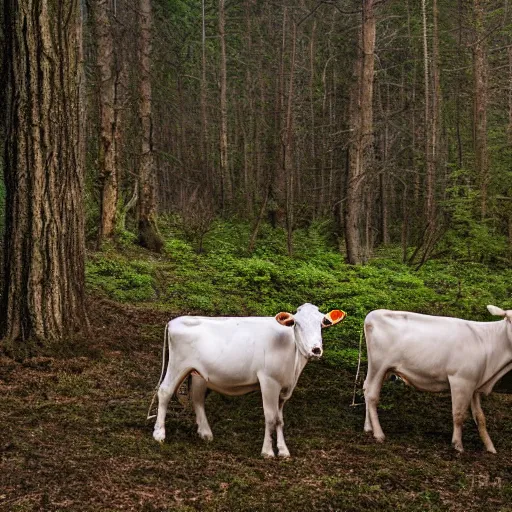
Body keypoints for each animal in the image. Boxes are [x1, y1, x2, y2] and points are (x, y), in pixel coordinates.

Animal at [150, 302, 346, 458]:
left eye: (322, 323)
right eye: (296, 324)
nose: (316, 350)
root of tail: (174, 321)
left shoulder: (284, 388)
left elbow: (280, 419)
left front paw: (283, 451)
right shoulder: (268, 381)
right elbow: (270, 417)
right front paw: (267, 452)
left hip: (198, 373)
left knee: (197, 398)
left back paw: (205, 433)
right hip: (177, 364)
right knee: (165, 391)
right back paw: (159, 434)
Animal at [364, 304, 512, 452]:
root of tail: (373, 315)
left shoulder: (475, 384)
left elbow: (480, 417)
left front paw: (490, 448)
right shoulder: (460, 380)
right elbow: (458, 414)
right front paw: (458, 445)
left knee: (365, 388)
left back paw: (368, 427)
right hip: (379, 365)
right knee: (371, 394)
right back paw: (378, 434)